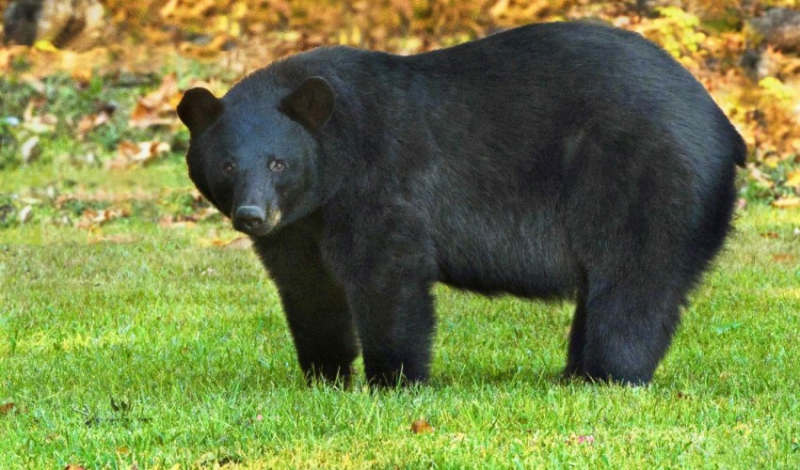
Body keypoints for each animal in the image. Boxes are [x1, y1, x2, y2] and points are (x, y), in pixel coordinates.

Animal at [178, 21, 748, 386]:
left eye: (278, 163)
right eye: (227, 166)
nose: (253, 216)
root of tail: (724, 126)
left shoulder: (379, 181)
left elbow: (388, 275)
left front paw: (394, 380)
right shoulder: (302, 226)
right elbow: (308, 289)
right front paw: (324, 376)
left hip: (647, 178)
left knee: (634, 283)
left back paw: (607, 376)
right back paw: (573, 375)